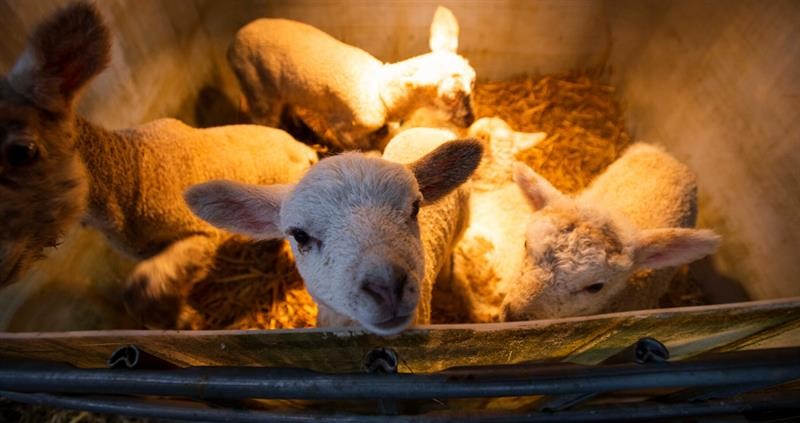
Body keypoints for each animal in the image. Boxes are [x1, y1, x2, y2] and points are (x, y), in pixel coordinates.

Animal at [0, 1, 318, 330]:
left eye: (23, 152)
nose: (3, 268)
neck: (130, 171)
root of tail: (306, 150)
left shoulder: (198, 234)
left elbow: (141, 289)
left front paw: (185, 320)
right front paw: (182, 318)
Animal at [225, 6, 476, 151]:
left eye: (473, 81)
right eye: (450, 97)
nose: (470, 120)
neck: (378, 89)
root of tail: (234, 40)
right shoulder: (342, 127)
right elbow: (359, 146)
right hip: (255, 85)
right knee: (264, 119)